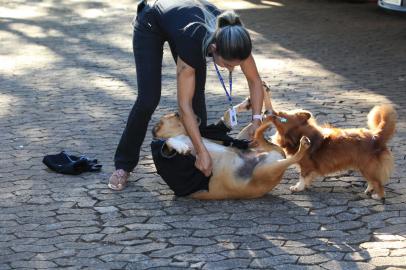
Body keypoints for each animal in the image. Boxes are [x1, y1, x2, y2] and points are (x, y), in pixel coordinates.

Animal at [268, 104, 398, 201]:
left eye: (280, 115)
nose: (268, 111)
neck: (298, 134)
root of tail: (376, 137)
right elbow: (307, 178)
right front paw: (305, 186)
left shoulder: (306, 165)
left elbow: (302, 177)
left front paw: (298, 187)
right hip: (365, 168)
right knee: (373, 181)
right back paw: (368, 190)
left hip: (367, 167)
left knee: (378, 183)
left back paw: (378, 196)